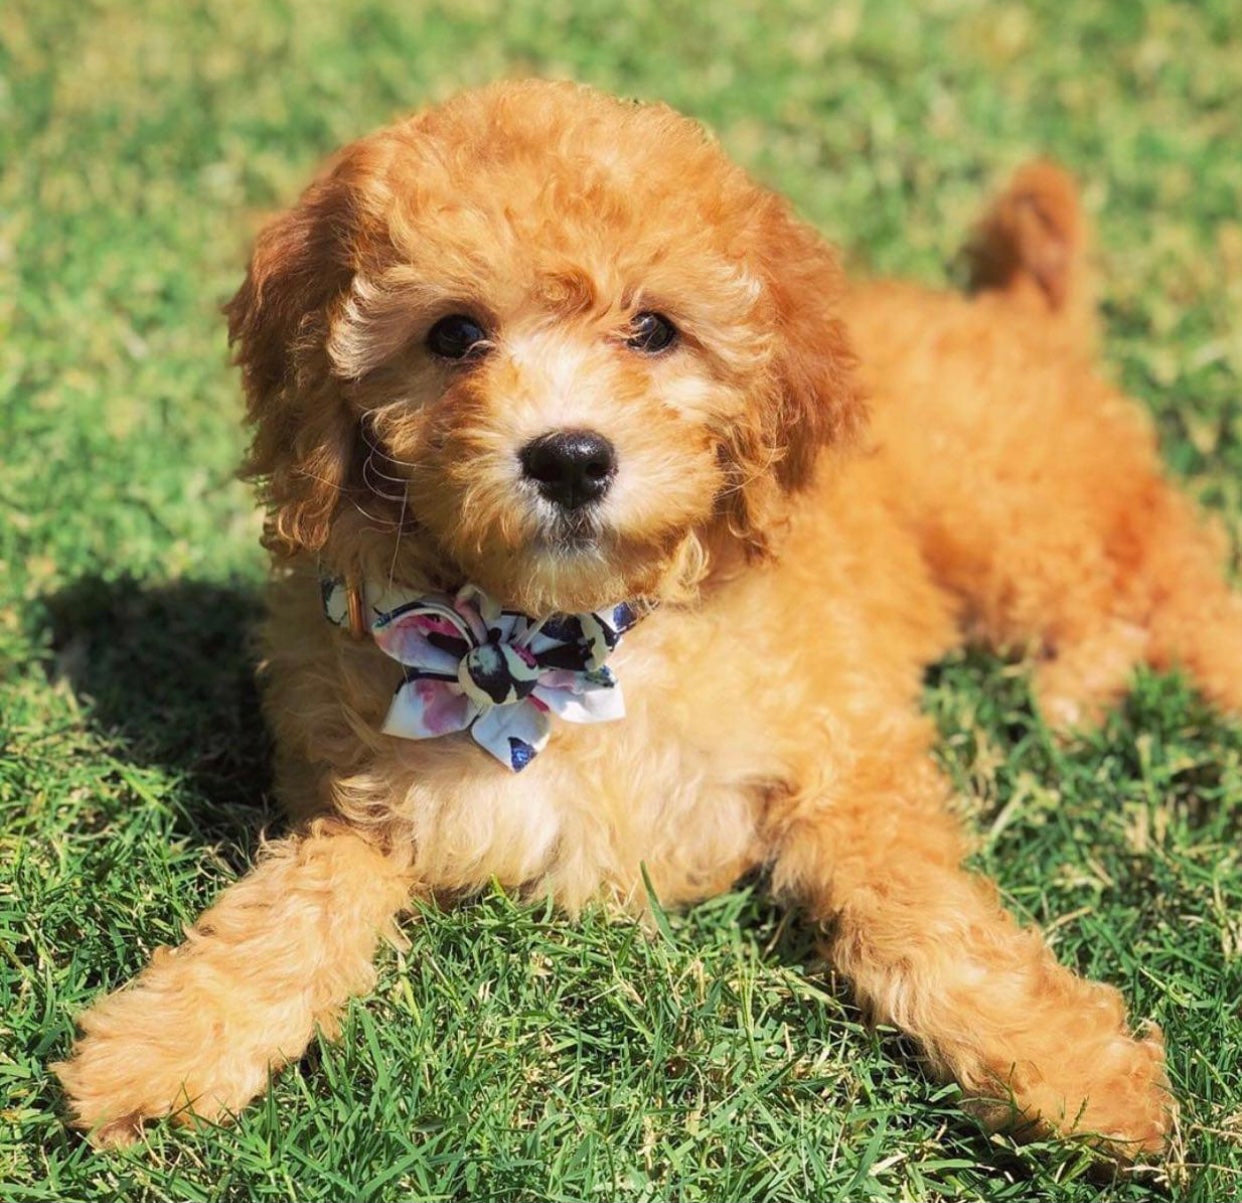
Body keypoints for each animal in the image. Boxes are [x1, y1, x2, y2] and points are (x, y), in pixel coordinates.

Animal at [60, 77, 1242, 1157]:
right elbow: (296, 904)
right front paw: (166, 1043)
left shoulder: (845, 750)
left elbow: (913, 906)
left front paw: (1067, 1068)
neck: (567, 639)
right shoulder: (365, 804)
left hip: (1011, 515)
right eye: (454, 335)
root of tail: (1009, 313)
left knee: (1173, 569)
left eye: (653, 330)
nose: (571, 456)